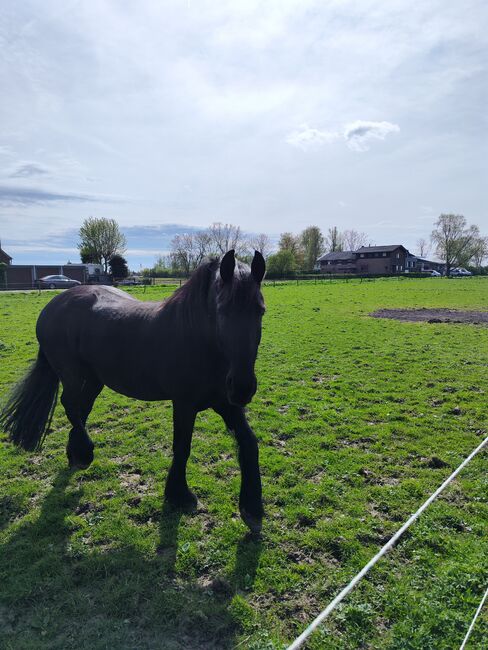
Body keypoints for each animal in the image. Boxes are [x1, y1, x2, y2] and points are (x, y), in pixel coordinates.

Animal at [0, 251, 266, 528]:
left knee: (80, 410)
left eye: (260, 311)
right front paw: (179, 495)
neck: (200, 340)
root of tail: (52, 306)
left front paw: (252, 509)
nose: (243, 387)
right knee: (71, 406)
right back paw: (84, 454)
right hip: (73, 376)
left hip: (93, 381)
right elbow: (182, 447)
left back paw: (75, 454)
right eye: (222, 310)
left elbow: (249, 443)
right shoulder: (184, 404)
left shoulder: (226, 403)